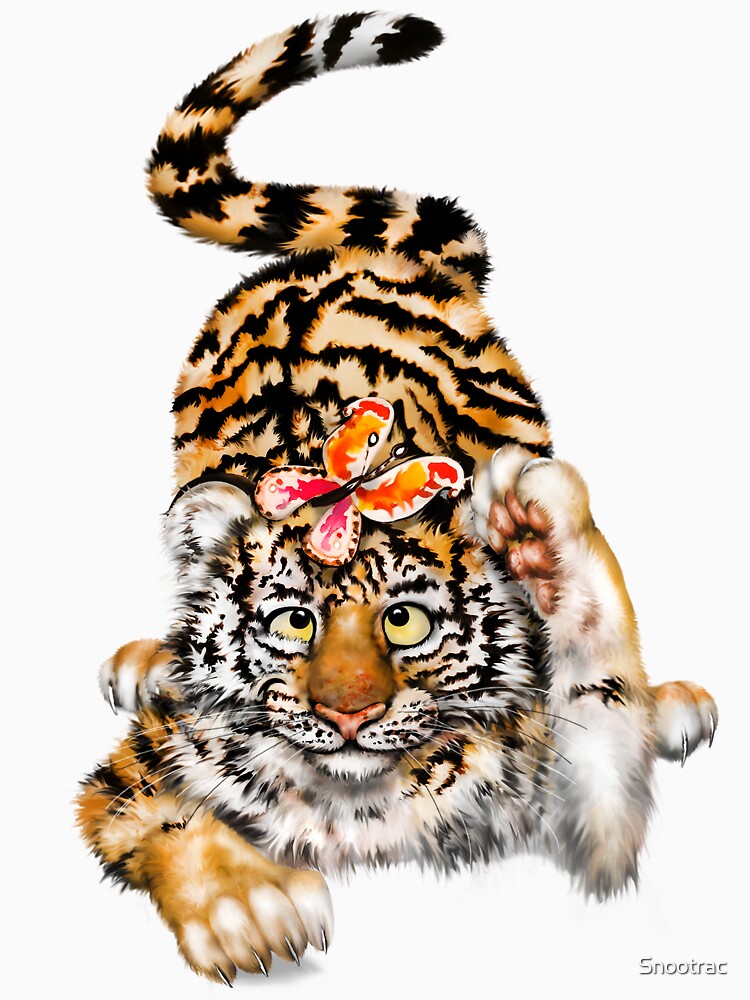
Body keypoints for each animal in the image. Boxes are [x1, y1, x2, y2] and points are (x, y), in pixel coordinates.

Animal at [76, 12, 718, 986]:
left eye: (405, 621)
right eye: (294, 620)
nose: (348, 715)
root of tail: (362, 255)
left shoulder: (557, 783)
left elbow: (601, 719)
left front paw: (543, 537)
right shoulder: (135, 774)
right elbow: (165, 815)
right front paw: (250, 910)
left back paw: (673, 698)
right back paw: (146, 660)